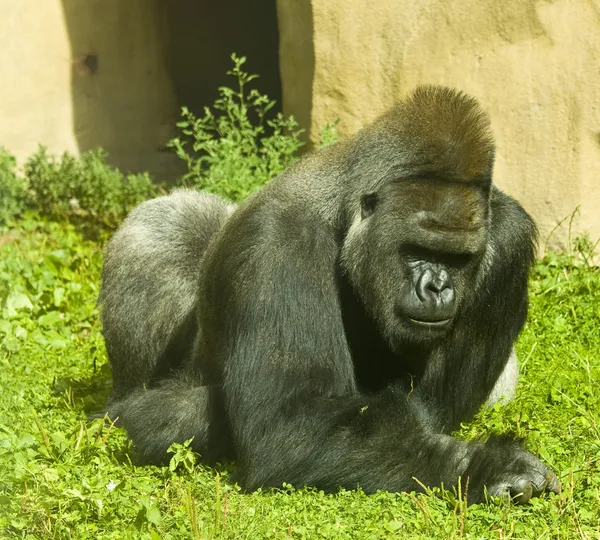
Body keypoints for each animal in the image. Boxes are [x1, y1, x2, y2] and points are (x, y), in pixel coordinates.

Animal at [99, 86, 564, 504]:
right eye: (416, 250)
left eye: (457, 258)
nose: (436, 287)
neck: (345, 212)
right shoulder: (278, 241)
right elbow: (291, 423)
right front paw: (482, 466)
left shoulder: (507, 236)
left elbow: (429, 408)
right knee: (166, 226)